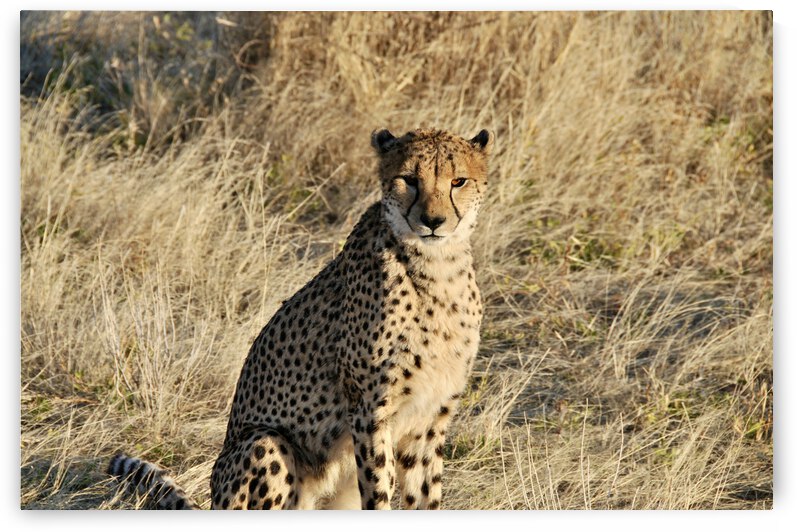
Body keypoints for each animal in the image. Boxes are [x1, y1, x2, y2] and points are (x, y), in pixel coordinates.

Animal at [108, 127, 493, 510]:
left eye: (458, 181)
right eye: (409, 180)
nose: (433, 221)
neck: (438, 270)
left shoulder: (429, 418)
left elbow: (425, 495)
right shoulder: (370, 411)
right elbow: (379, 491)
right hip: (265, 442)